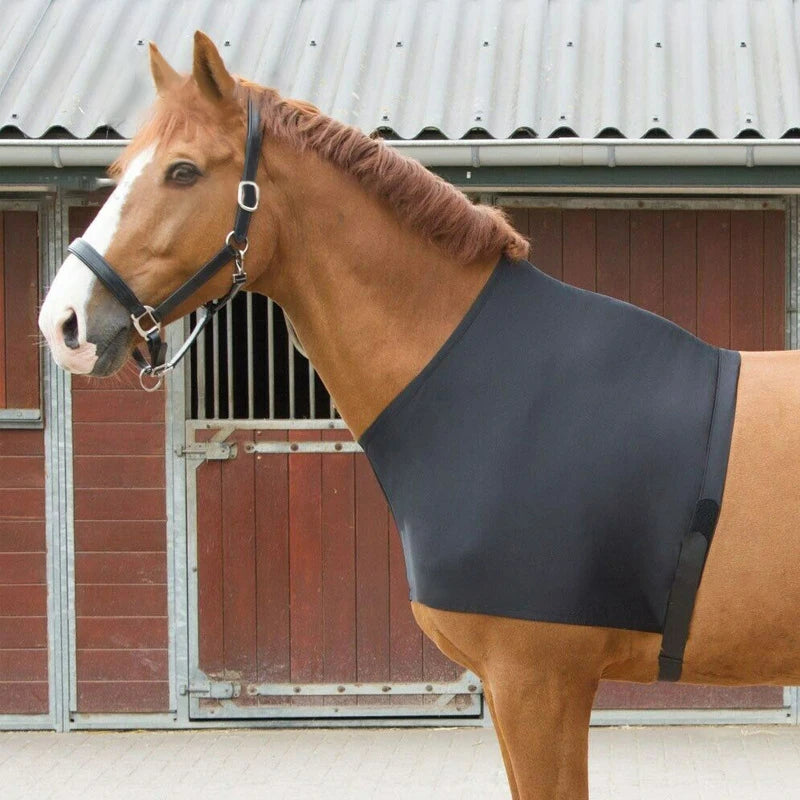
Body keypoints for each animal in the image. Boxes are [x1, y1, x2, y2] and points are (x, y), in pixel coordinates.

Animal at [37, 32, 800, 800]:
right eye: (119, 169)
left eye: (183, 171)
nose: (63, 322)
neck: (496, 387)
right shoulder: (520, 688)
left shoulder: (538, 682)